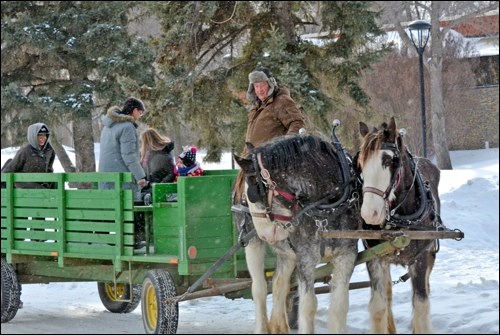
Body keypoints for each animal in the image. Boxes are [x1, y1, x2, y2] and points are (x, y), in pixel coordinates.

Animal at [232, 128, 362, 334]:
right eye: (248, 196)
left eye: (253, 191)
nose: (266, 234)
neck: (328, 207)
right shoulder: (306, 258)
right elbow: (308, 305)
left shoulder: (347, 255)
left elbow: (340, 306)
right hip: (252, 244)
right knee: (259, 288)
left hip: (287, 253)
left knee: (279, 284)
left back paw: (279, 325)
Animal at [358, 117, 444, 334]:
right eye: (360, 164)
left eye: (389, 161)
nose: (370, 214)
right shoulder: (374, 259)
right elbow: (378, 306)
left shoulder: (421, 257)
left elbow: (421, 303)